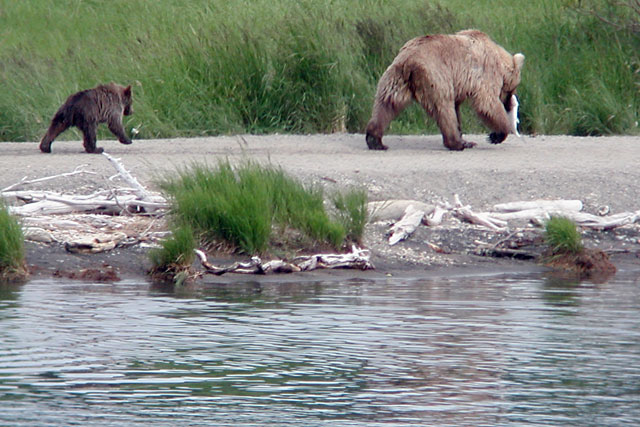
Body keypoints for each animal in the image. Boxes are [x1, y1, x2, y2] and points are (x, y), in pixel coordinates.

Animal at [364, 30, 524, 151]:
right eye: (513, 89)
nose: (509, 103)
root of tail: (409, 61)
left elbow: (458, 107)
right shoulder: (485, 73)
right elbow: (487, 104)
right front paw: (497, 134)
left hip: (395, 78)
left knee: (386, 104)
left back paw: (375, 140)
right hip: (436, 76)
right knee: (444, 107)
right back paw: (457, 143)